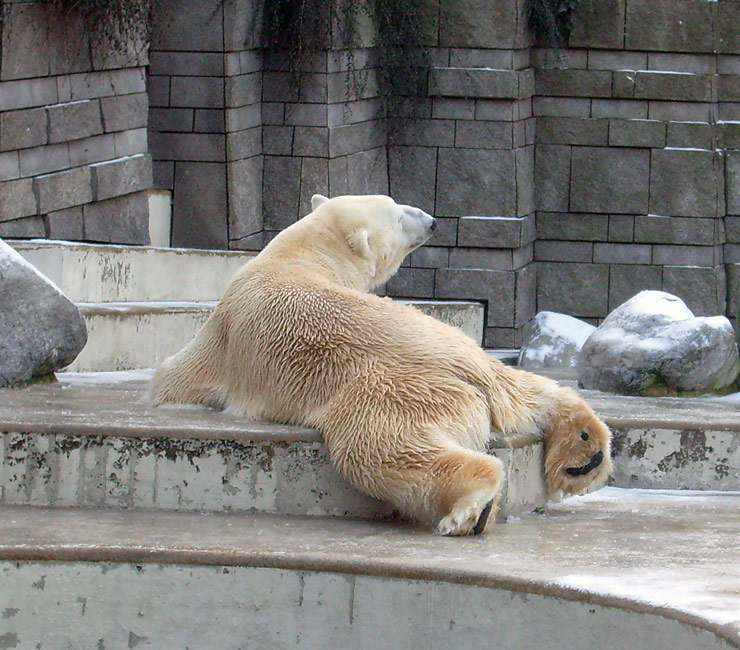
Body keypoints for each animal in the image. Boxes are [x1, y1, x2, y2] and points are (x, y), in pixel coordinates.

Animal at [153, 195, 608, 536]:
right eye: (399, 212)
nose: (434, 221)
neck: (298, 256)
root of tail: (470, 371)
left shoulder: (222, 330)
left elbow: (172, 379)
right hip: (471, 356)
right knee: (532, 391)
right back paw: (584, 450)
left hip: (394, 388)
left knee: (381, 448)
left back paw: (469, 511)